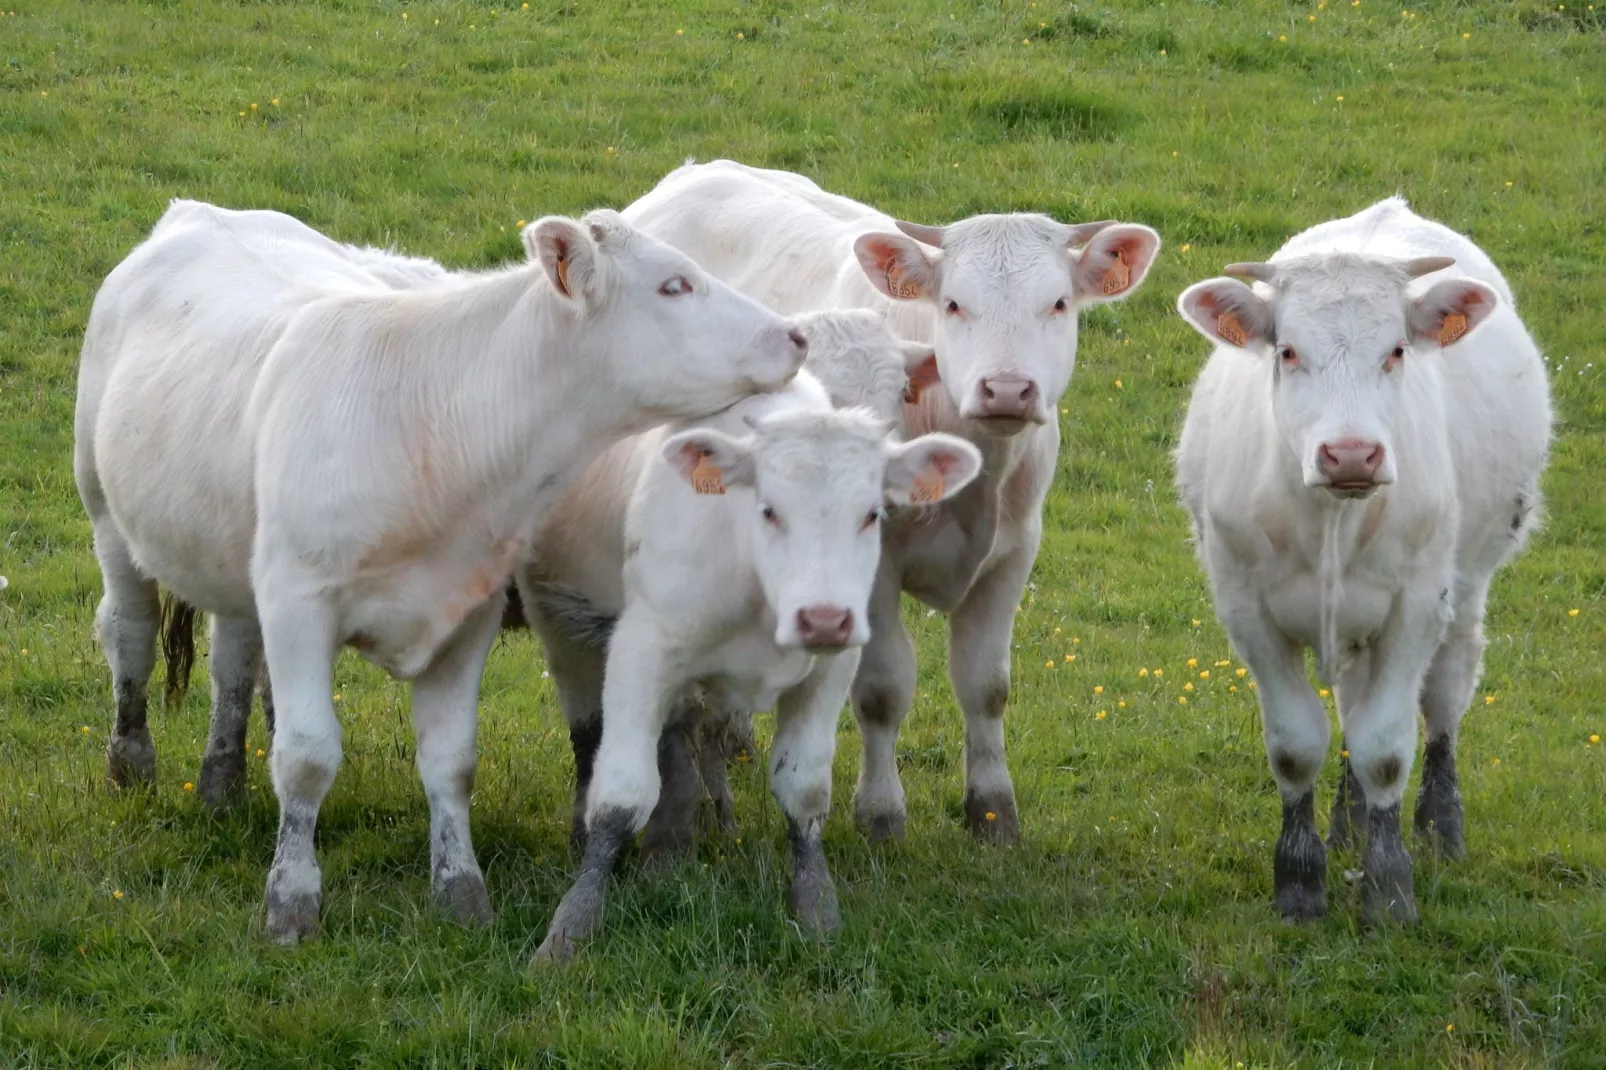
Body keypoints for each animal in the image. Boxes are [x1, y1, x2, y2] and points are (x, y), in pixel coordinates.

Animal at [76, 196, 809, 938]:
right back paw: (131, 764)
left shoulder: (466, 612)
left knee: (232, 661)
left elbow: (450, 762)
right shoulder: (299, 599)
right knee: (130, 631)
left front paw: (461, 891)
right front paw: (291, 902)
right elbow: (308, 757)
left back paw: (221, 785)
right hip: (106, 512)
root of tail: (198, 210)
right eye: (673, 285)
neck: (428, 426)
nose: (795, 336)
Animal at [526, 366, 976, 957]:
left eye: (872, 513)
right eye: (768, 509)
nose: (824, 618)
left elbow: (804, 789)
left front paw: (816, 908)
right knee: (588, 733)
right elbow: (621, 796)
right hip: (560, 623)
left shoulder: (830, 671)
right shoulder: (642, 652)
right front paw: (571, 926)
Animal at [619, 160, 1162, 841]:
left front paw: (993, 811)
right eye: (953, 304)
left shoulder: (1014, 556)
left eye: (1059, 303)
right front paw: (880, 813)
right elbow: (881, 690)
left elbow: (986, 685)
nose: (1007, 389)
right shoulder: (869, 572)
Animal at [1175, 196, 1548, 918]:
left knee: (1444, 696)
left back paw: (1440, 827)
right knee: (1352, 701)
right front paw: (1299, 878)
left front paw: (1388, 886)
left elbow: (1385, 749)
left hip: (1466, 582)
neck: (1329, 521)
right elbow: (1298, 744)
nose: (1351, 454)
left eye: (1396, 350)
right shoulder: (1247, 610)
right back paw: (1346, 824)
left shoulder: (1414, 608)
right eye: (1288, 350)